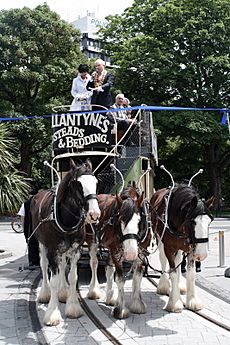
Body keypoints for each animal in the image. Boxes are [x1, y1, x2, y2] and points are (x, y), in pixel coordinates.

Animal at [28, 159, 100, 326]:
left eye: (95, 182)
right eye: (78, 184)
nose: (94, 214)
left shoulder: (75, 250)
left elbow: (73, 277)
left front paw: (73, 307)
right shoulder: (52, 250)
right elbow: (53, 280)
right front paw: (52, 313)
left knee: (61, 266)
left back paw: (62, 292)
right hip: (42, 245)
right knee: (44, 265)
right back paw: (46, 294)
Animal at [85, 184, 152, 318]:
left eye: (139, 221)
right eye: (120, 221)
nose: (130, 253)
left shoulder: (141, 252)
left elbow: (137, 276)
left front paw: (137, 304)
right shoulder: (116, 252)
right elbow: (120, 279)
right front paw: (121, 309)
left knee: (109, 268)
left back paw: (110, 297)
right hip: (93, 241)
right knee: (94, 263)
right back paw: (94, 291)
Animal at [150, 184, 213, 314]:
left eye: (210, 221)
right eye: (193, 222)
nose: (202, 255)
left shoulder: (191, 248)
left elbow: (190, 273)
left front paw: (192, 301)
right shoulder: (169, 248)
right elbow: (173, 272)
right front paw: (174, 303)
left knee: (179, 261)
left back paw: (179, 287)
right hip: (159, 240)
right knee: (163, 260)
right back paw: (164, 285)